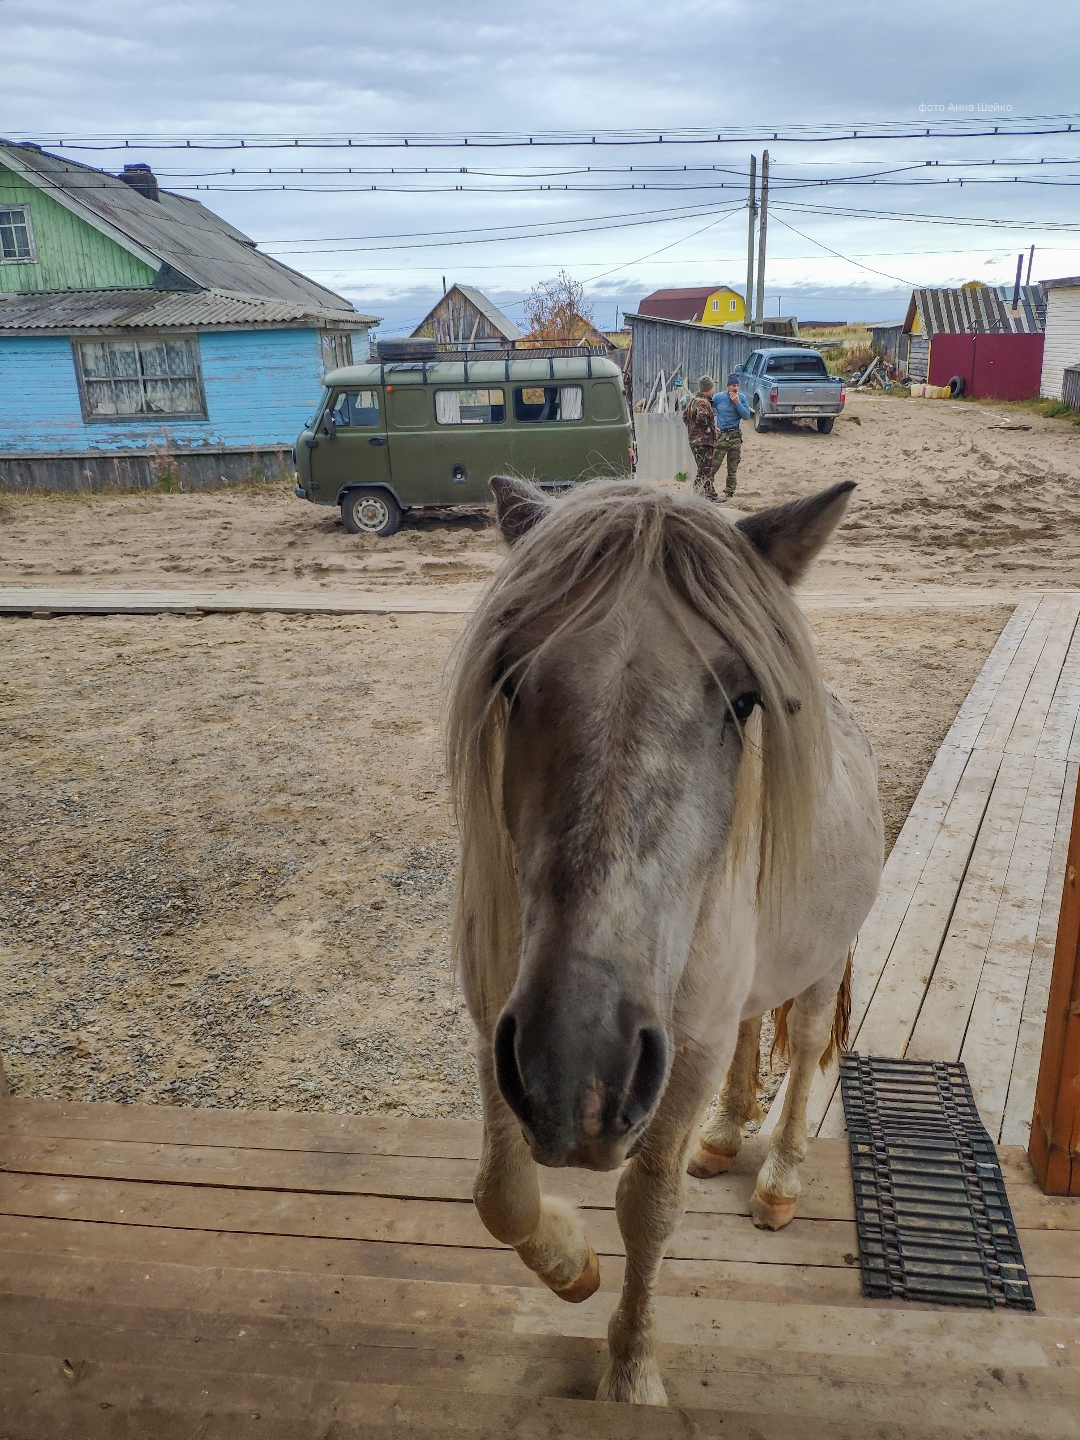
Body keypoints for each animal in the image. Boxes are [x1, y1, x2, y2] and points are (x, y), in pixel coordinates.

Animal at [452, 478, 881, 1399]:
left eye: (744, 700)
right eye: (511, 678)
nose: (577, 1074)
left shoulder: (684, 1053)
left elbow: (648, 1209)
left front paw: (631, 1371)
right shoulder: (493, 1026)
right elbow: (498, 1194)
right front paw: (572, 1267)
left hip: (821, 961)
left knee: (800, 1048)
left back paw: (779, 1178)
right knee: (755, 1031)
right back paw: (722, 1137)